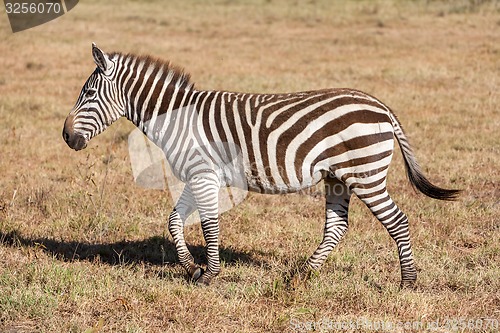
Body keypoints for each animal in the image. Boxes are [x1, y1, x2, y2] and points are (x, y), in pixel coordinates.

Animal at [63, 43, 460, 286]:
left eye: (89, 94)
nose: (66, 137)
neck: (179, 118)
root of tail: (380, 105)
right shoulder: (197, 175)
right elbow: (175, 222)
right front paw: (191, 268)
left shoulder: (204, 175)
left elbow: (208, 226)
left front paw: (210, 274)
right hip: (336, 178)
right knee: (337, 226)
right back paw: (300, 275)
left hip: (365, 174)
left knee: (397, 221)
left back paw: (406, 281)